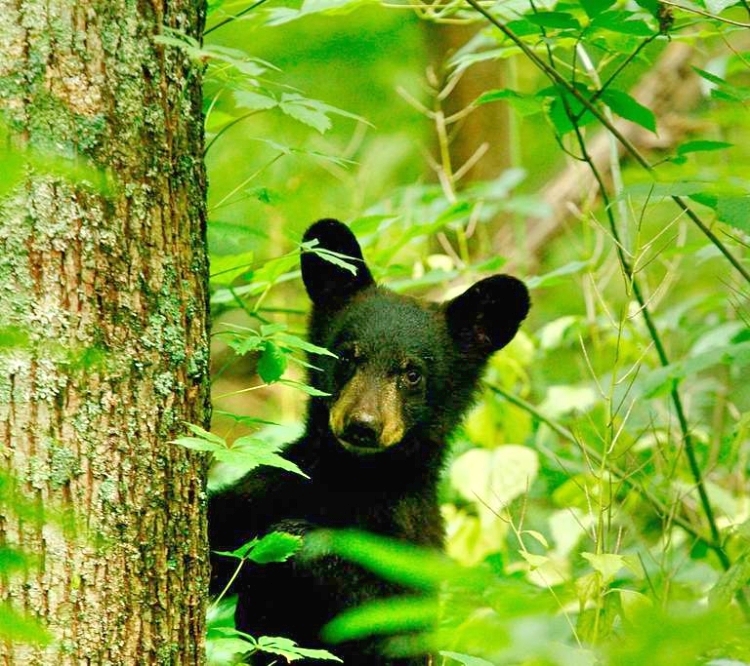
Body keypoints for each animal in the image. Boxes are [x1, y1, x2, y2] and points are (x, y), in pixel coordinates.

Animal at [209, 220, 532, 660]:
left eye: (411, 373)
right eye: (347, 356)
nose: (363, 425)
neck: (354, 479)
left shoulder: (411, 541)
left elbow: (387, 622)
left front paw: (299, 536)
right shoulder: (269, 489)